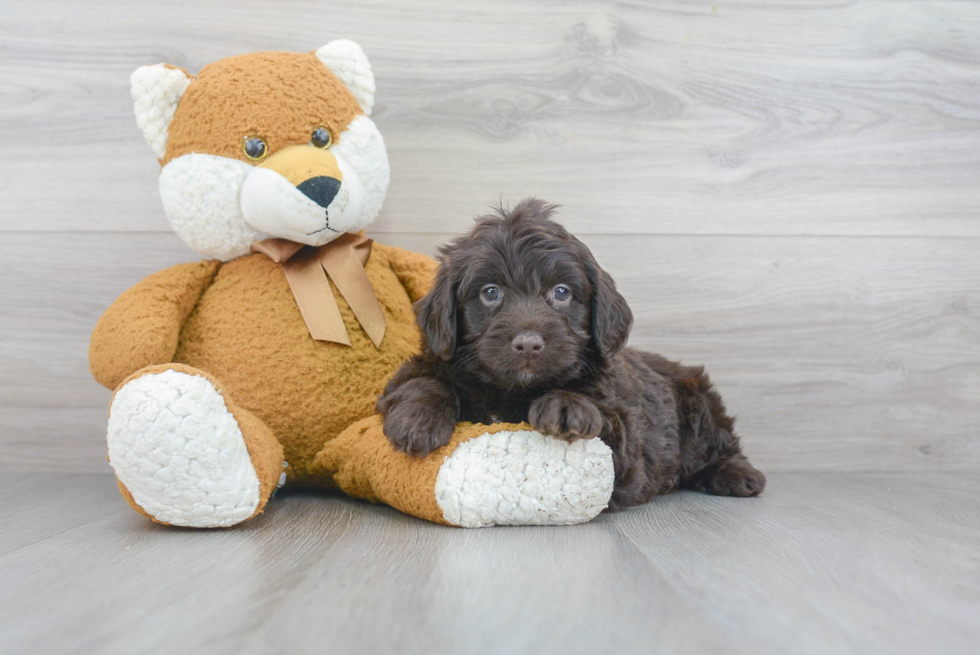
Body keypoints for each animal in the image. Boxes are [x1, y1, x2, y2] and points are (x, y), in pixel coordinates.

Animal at [376, 197, 764, 510]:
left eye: (561, 292)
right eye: (490, 292)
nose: (528, 343)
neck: (511, 390)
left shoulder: (624, 443)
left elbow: (606, 417)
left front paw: (565, 405)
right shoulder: (427, 363)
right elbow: (422, 380)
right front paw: (418, 420)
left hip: (699, 402)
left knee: (721, 443)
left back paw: (738, 474)